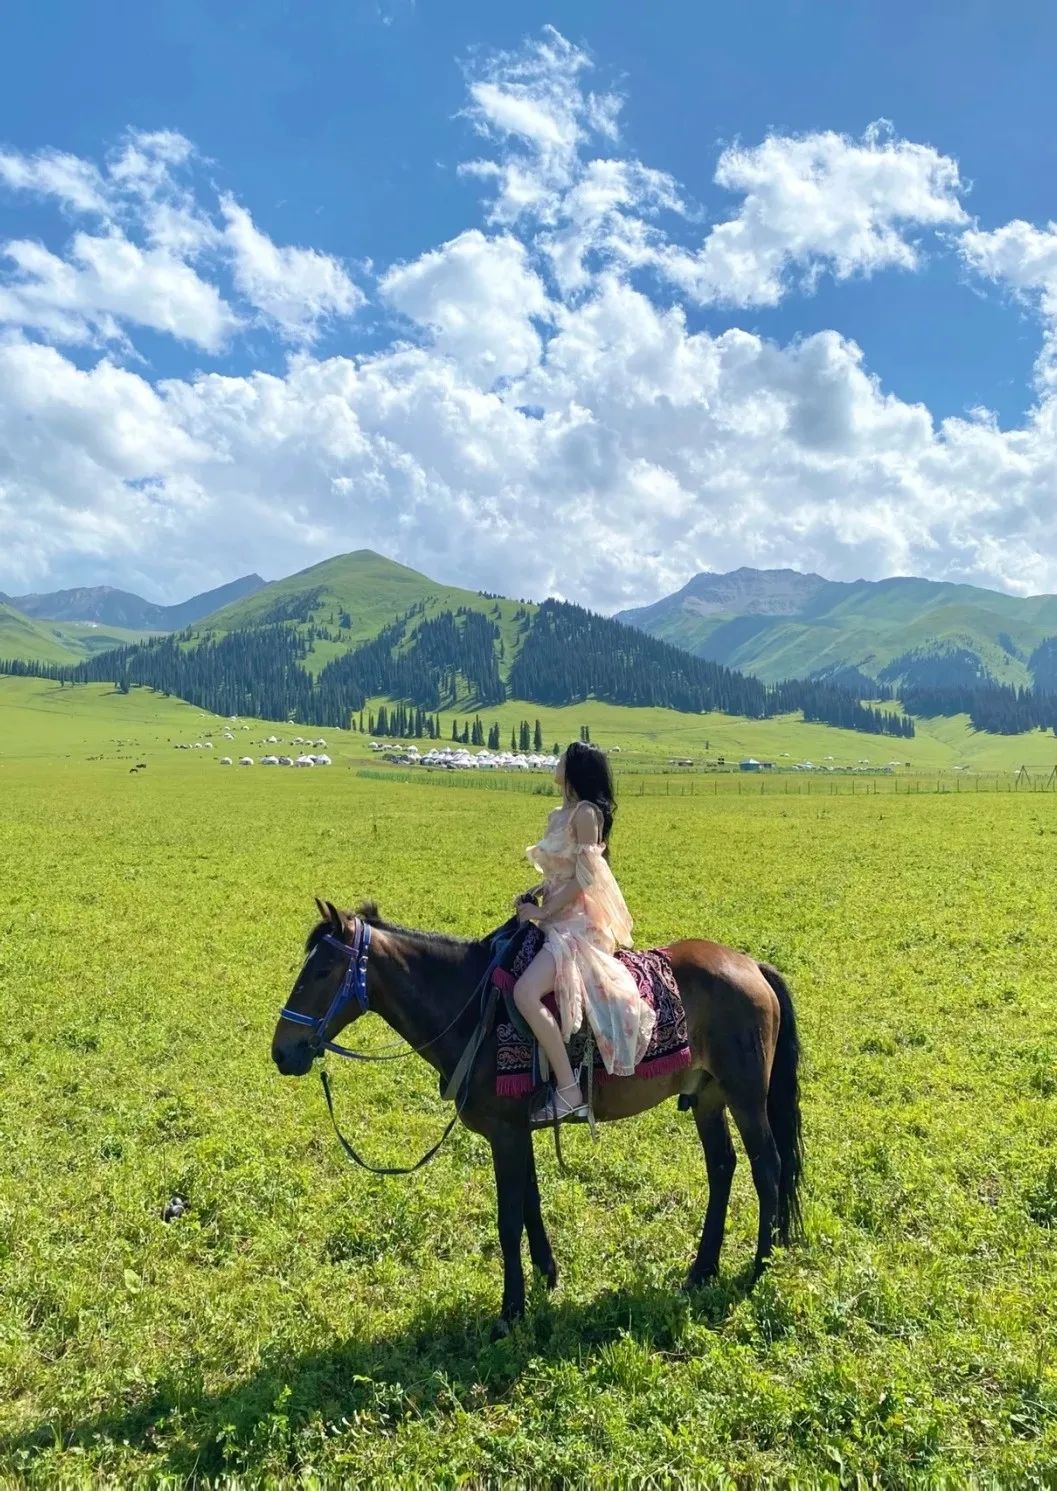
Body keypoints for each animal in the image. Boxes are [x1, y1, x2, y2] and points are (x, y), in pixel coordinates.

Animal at [269, 900, 799, 1335]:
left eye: (322, 971)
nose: (282, 1052)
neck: (473, 1010)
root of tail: (751, 966)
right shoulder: (516, 1132)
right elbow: (530, 1203)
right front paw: (547, 1274)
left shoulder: (505, 1133)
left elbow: (508, 1219)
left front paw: (510, 1311)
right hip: (708, 1096)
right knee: (723, 1167)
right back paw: (701, 1270)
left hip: (746, 1097)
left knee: (767, 1167)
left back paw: (760, 1265)